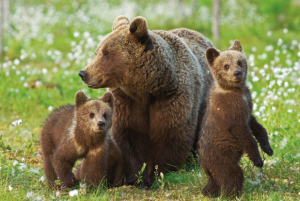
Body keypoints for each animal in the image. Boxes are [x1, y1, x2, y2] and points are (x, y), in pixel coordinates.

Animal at [79, 14, 216, 186]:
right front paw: (134, 177)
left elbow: (170, 134)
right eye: (97, 52)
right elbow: (128, 135)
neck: (147, 88)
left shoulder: (171, 97)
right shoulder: (127, 101)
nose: (83, 73)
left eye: (106, 54)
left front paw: (156, 175)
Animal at [198, 40, 274, 197]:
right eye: (226, 65)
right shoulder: (230, 110)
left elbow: (256, 125)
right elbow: (243, 133)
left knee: (214, 181)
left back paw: (209, 191)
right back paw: (233, 194)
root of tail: (204, 165)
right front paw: (258, 160)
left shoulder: (247, 104)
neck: (235, 90)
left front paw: (268, 148)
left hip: (213, 168)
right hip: (221, 155)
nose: (237, 73)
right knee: (232, 174)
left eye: (239, 61)